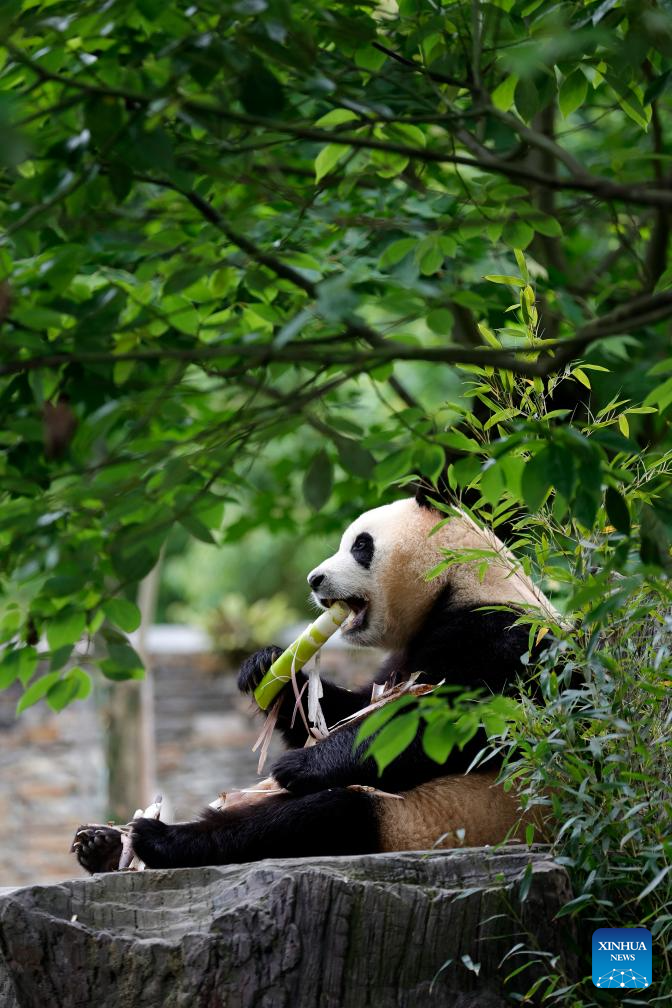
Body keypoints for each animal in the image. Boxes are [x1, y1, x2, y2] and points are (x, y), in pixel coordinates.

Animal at [75, 489, 556, 874]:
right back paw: (103, 845)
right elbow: (345, 710)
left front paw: (298, 765)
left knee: (317, 816)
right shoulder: (403, 657)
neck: (462, 580)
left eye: (362, 545)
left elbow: (449, 725)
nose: (314, 579)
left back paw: (159, 840)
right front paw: (267, 668)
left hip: (430, 821)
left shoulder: (503, 636)